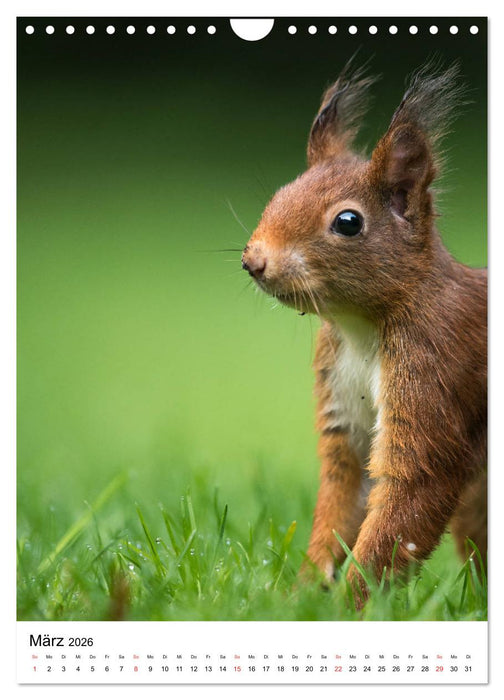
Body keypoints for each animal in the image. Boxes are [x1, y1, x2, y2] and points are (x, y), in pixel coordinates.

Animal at [241, 59, 487, 604]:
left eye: (348, 222)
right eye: (279, 195)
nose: (254, 261)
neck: (361, 330)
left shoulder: (435, 366)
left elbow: (410, 495)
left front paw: (353, 603)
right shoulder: (343, 404)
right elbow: (343, 495)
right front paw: (304, 594)